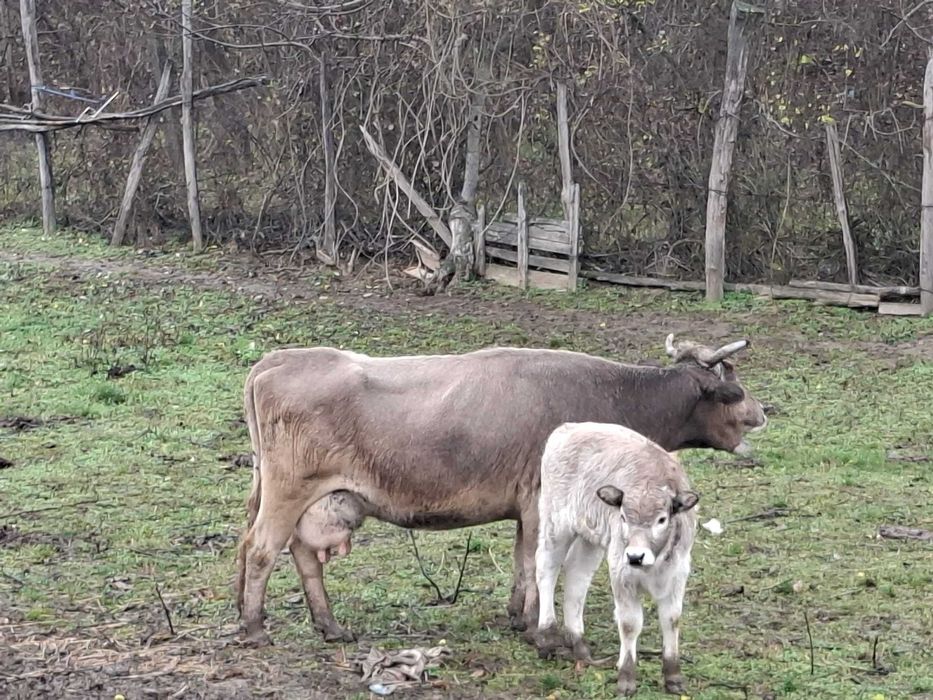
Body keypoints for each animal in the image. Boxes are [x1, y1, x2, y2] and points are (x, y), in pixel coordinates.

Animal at [234, 334, 766, 646]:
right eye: (735, 393)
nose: (763, 413)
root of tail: (276, 360)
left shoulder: (524, 507)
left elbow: (520, 562)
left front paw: (516, 616)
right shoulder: (541, 504)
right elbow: (537, 563)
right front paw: (537, 627)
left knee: (293, 554)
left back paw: (326, 626)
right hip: (288, 491)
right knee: (261, 550)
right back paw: (256, 627)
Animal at [533, 422, 700, 696]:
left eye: (662, 519)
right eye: (623, 517)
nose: (635, 556)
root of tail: (568, 428)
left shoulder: (678, 572)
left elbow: (672, 618)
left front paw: (673, 676)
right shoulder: (622, 572)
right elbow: (630, 623)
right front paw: (626, 678)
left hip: (589, 536)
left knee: (577, 575)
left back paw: (578, 642)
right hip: (556, 523)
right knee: (546, 567)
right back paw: (547, 635)